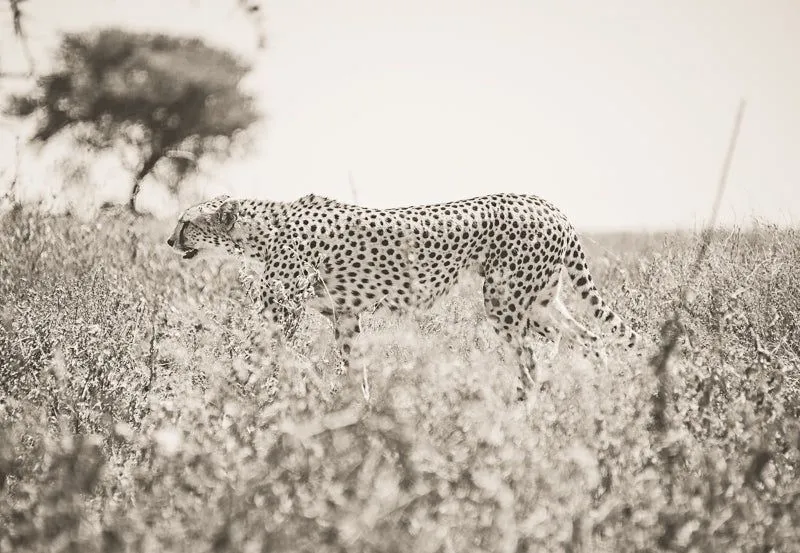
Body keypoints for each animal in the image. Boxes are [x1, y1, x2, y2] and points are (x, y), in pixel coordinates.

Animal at [167, 192, 639, 396]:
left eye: (185, 222)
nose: (170, 241)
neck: (264, 228)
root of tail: (547, 203)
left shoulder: (283, 311)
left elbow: (257, 353)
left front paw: (240, 395)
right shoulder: (344, 315)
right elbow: (353, 367)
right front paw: (356, 412)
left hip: (505, 302)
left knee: (530, 364)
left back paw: (521, 412)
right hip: (538, 302)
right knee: (588, 337)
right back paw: (602, 395)